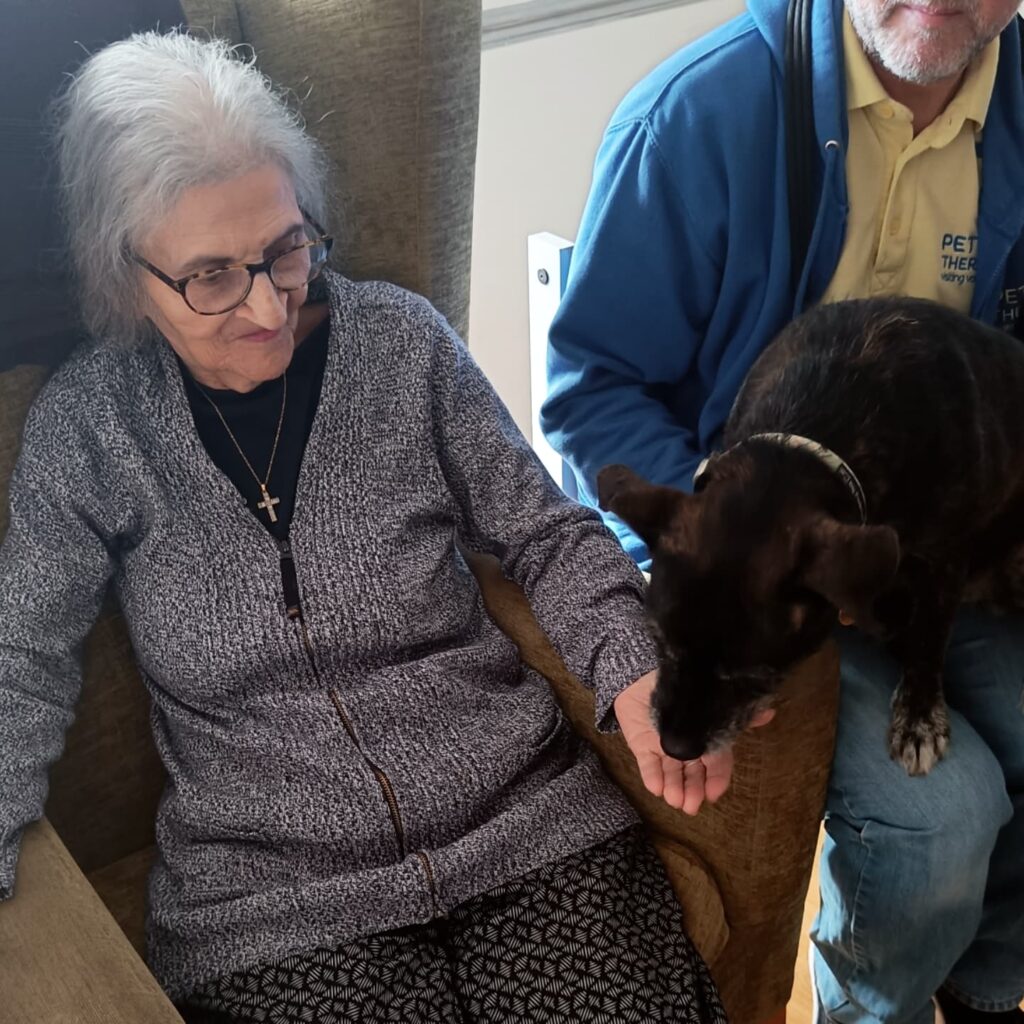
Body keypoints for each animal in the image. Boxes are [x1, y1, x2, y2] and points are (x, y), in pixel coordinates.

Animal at [598, 296, 1024, 774]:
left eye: (753, 677)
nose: (676, 748)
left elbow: (930, 637)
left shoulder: (946, 559)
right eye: (658, 642)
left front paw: (919, 714)